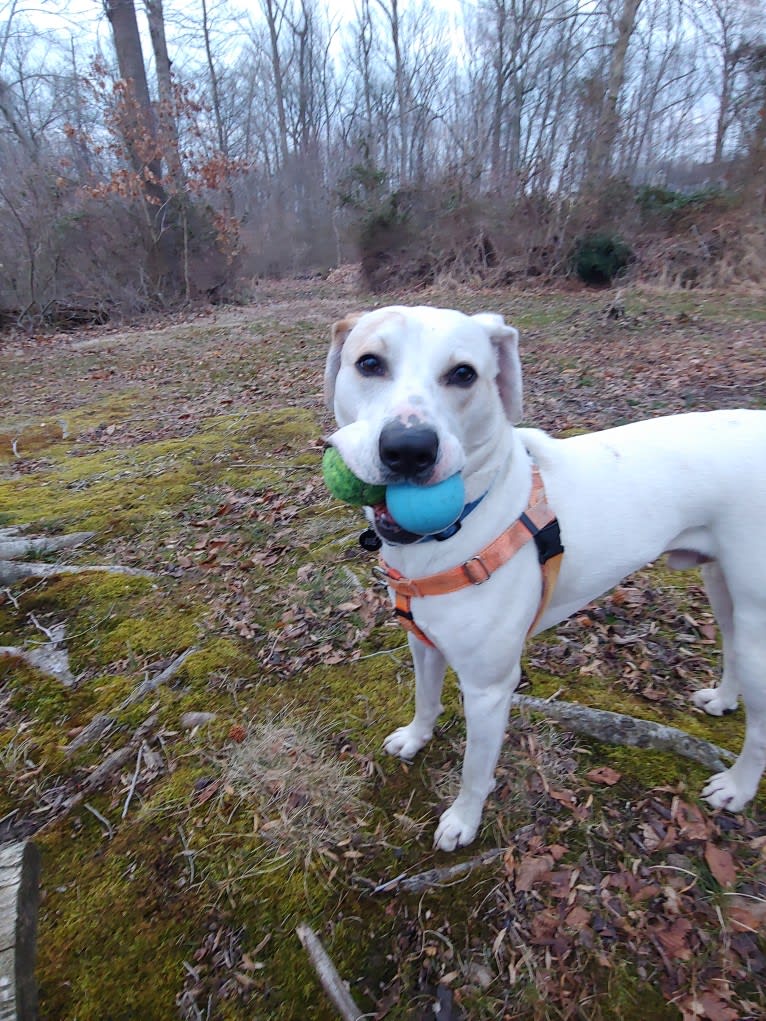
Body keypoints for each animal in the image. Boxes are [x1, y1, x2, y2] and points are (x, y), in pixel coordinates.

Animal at [324, 304, 766, 853]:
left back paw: (738, 786)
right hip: (724, 590)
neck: (463, 522)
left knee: (761, 725)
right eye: (369, 363)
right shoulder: (423, 643)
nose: (408, 448)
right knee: (730, 645)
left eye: (463, 374)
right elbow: (425, 700)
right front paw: (415, 738)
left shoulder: (490, 689)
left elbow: (475, 769)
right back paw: (723, 700)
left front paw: (463, 821)